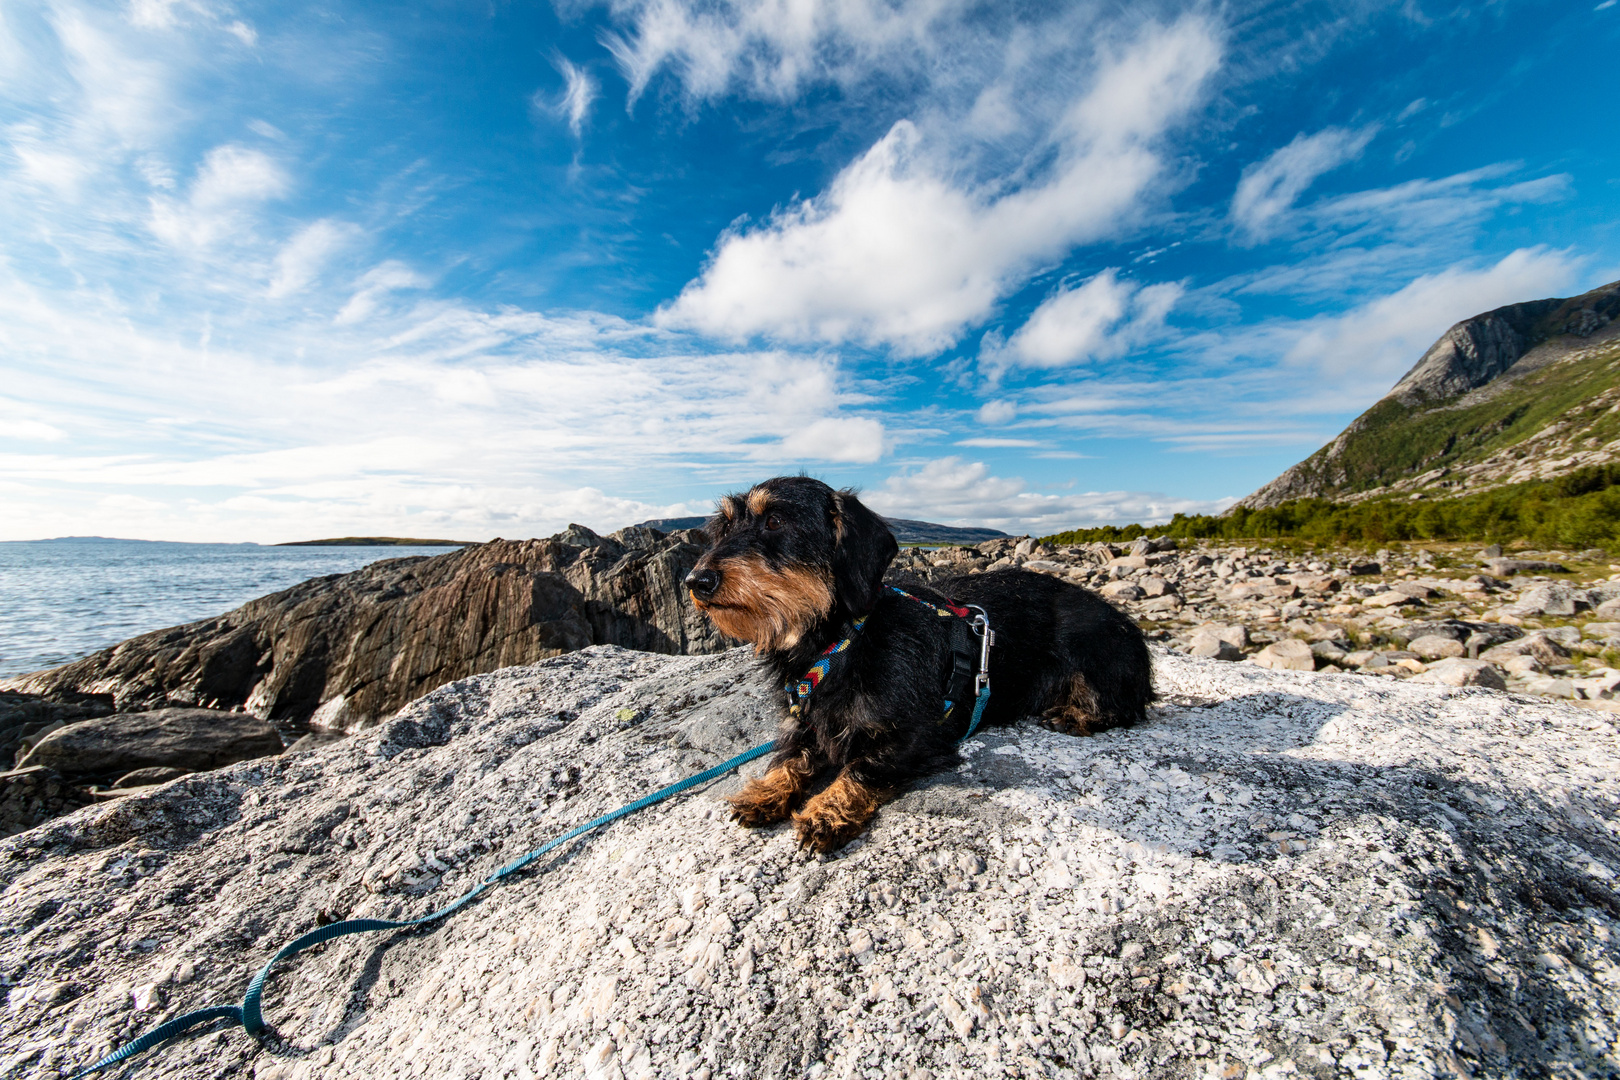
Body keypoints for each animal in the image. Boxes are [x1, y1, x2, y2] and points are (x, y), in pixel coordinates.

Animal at [683, 476, 1153, 848]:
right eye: (725, 526)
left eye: (775, 522)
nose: (695, 581)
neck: (842, 643)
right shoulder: (804, 721)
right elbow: (789, 757)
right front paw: (765, 792)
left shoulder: (919, 737)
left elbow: (862, 767)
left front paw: (826, 811)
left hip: (1092, 649)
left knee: (1124, 705)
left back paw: (1073, 714)